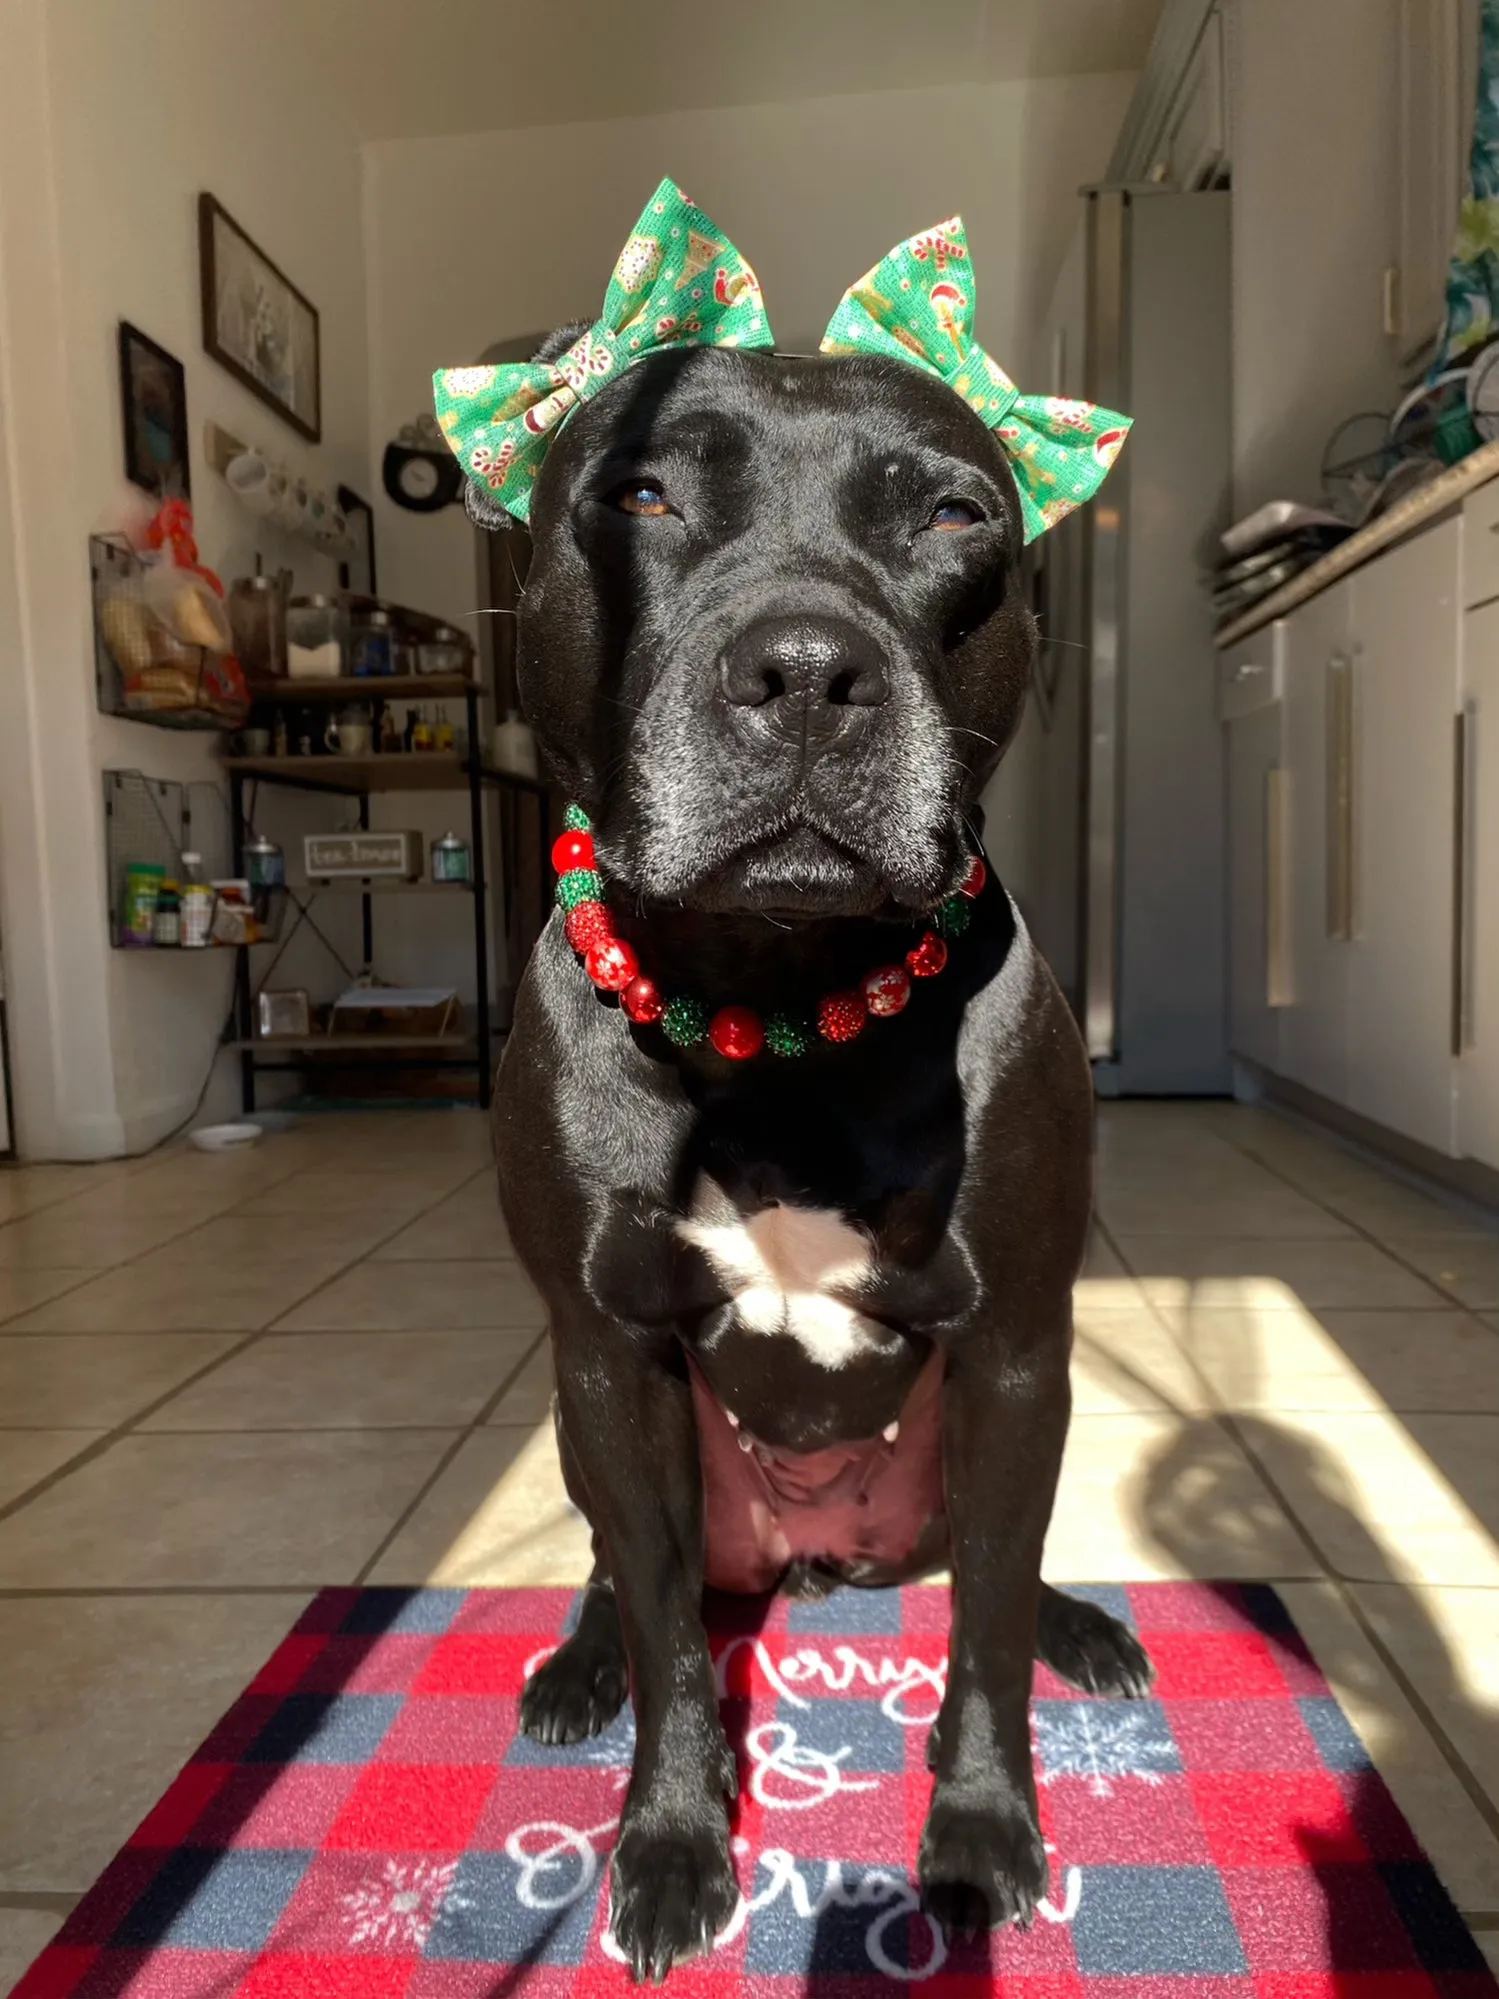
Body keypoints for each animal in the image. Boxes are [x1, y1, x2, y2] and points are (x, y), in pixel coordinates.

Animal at [487, 331, 1159, 1983]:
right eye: (639, 493)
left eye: (953, 513)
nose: (802, 670)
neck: (774, 1003)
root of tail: (807, 1555)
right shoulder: (604, 1352)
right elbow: (667, 1633)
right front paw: (669, 1838)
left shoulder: (1015, 1352)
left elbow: (984, 1638)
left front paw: (976, 1837)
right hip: (587, 1428)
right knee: (614, 1567)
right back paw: (575, 1664)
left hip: (970, 1448)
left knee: (991, 1565)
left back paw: (1083, 1623)